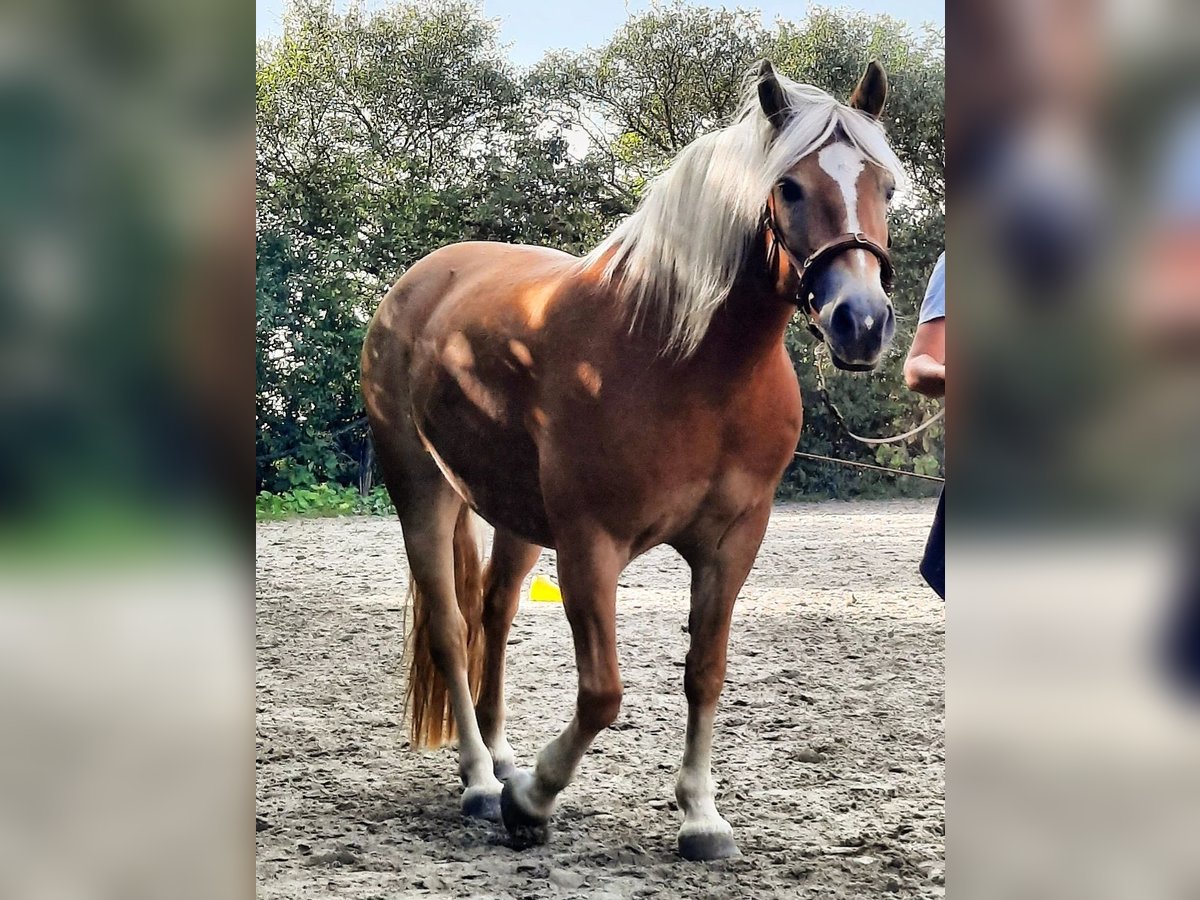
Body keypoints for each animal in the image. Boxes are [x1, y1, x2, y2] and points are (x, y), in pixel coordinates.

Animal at [360, 60, 902, 864]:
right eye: (790, 187)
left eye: (886, 187)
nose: (860, 323)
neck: (688, 365)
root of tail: (421, 282)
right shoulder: (592, 545)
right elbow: (602, 693)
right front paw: (532, 800)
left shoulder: (733, 543)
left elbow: (705, 674)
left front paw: (700, 815)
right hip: (421, 490)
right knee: (452, 630)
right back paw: (484, 781)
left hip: (517, 519)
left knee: (494, 612)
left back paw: (500, 754)